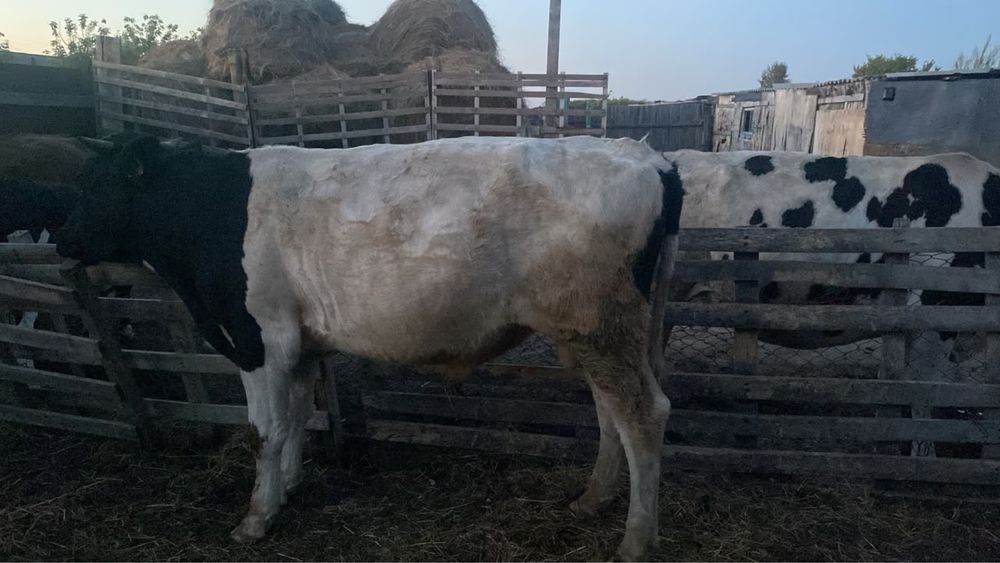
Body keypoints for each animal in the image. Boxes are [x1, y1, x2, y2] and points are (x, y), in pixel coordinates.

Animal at [55, 134, 685, 561]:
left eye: (93, 185)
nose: (60, 238)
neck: (210, 207)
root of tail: (647, 157)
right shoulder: (301, 344)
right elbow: (297, 417)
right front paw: (289, 485)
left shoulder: (261, 337)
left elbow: (265, 429)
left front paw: (256, 517)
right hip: (597, 330)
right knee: (610, 414)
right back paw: (593, 498)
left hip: (603, 325)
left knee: (643, 414)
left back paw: (635, 538)